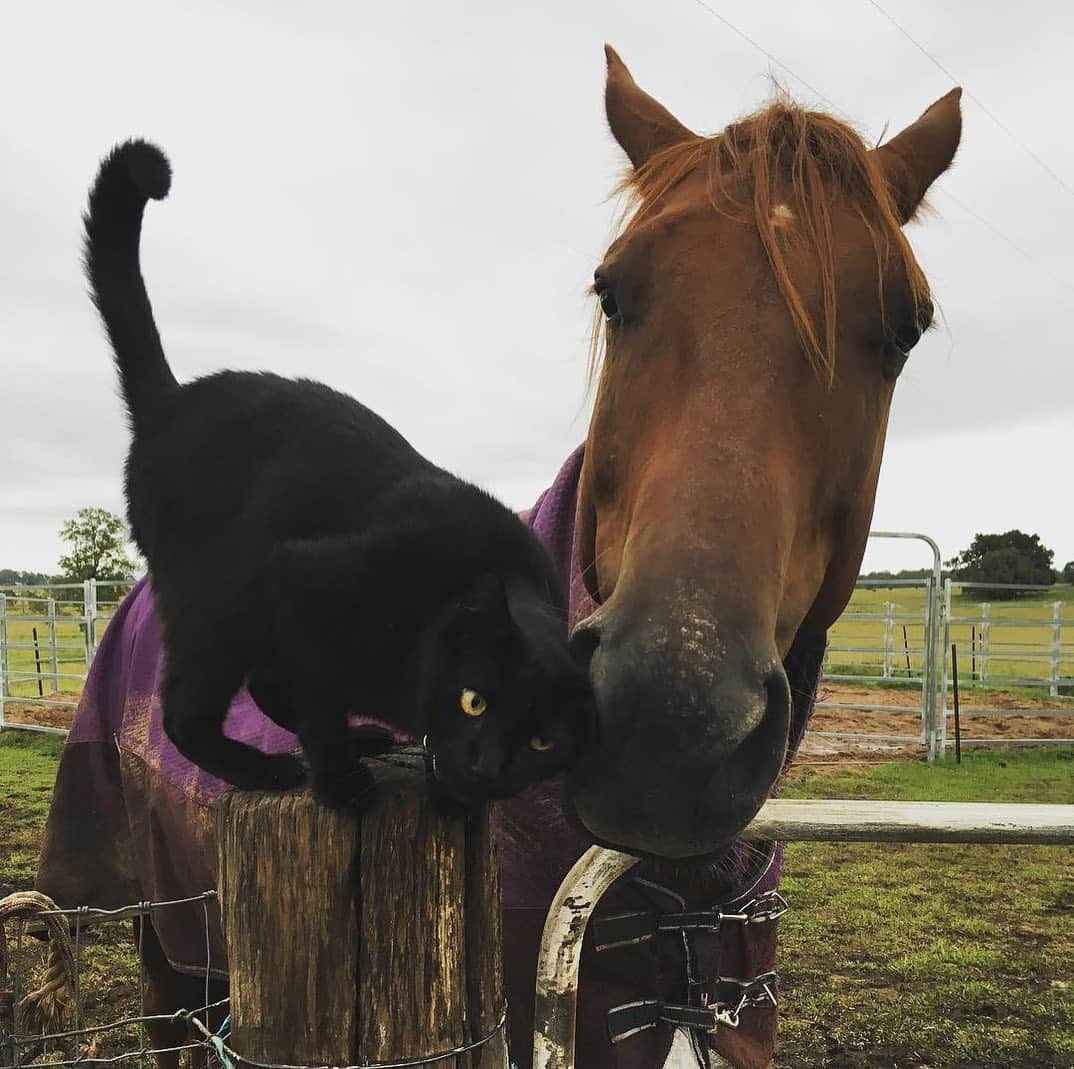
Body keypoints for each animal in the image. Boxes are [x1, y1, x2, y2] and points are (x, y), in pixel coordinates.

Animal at [83, 137, 592, 807]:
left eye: (541, 741)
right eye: (475, 702)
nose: (486, 769)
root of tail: (171, 399)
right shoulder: (307, 579)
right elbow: (319, 703)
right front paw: (341, 785)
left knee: (268, 687)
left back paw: (360, 739)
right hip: (220, 608)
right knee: (189, 713)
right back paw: (266, 768)